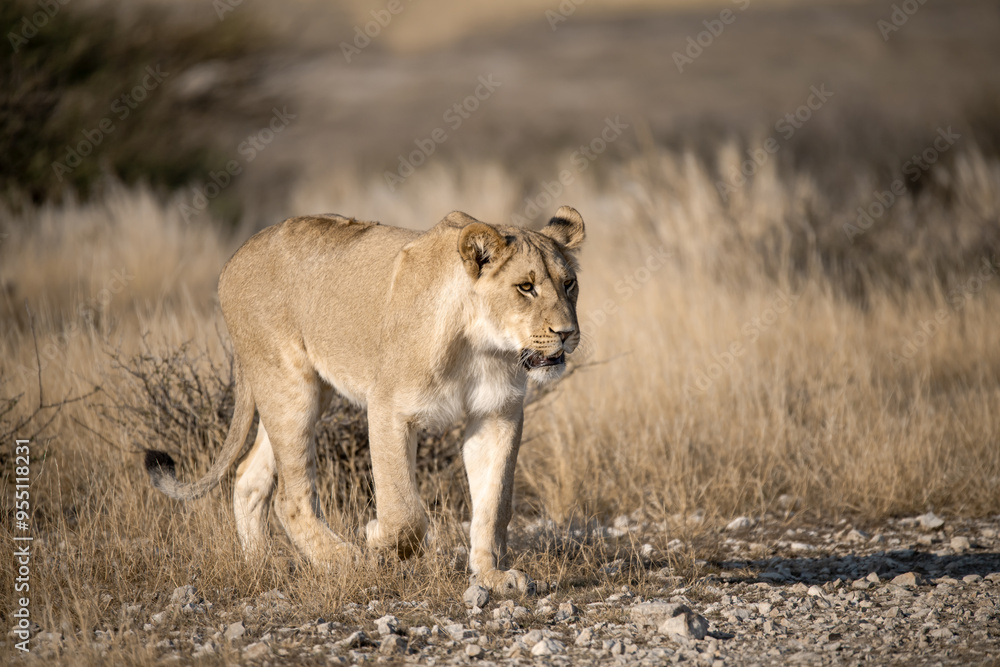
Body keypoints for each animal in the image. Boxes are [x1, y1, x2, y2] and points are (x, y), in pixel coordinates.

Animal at [144, 206, 585, 594]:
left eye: (569, 284)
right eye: (525, 287)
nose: (566, 333)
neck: (483, 346)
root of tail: (235, 257)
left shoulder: (498, 414)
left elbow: (494, 504)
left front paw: (492, 576)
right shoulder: (389, 407)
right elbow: (404, 511)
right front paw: (376, 538)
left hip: (304, 394)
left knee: (248, 477)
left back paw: (261, 566)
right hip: (289, 386)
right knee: (289, 496)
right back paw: (341, 559)